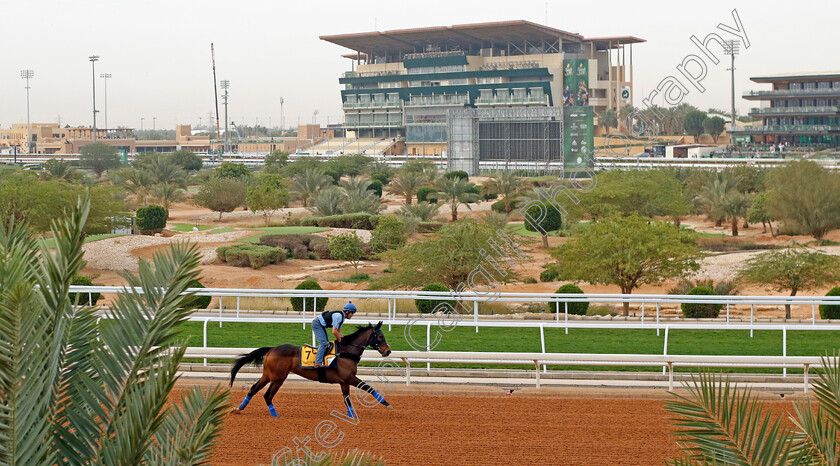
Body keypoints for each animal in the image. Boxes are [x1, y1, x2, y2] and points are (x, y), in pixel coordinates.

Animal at [230, 322, 394, 416]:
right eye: (380, 336)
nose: (388, 351)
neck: (346, 351)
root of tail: (271, 349)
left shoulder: (344, 382)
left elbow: (347, 400)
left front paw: (352, 416)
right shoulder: (349, 378)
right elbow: (368, 388)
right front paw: (387, 404)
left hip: (267, 376)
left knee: (253, 389)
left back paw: (238, 409)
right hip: (278, 378)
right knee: (267, 395)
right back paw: (275, 415)